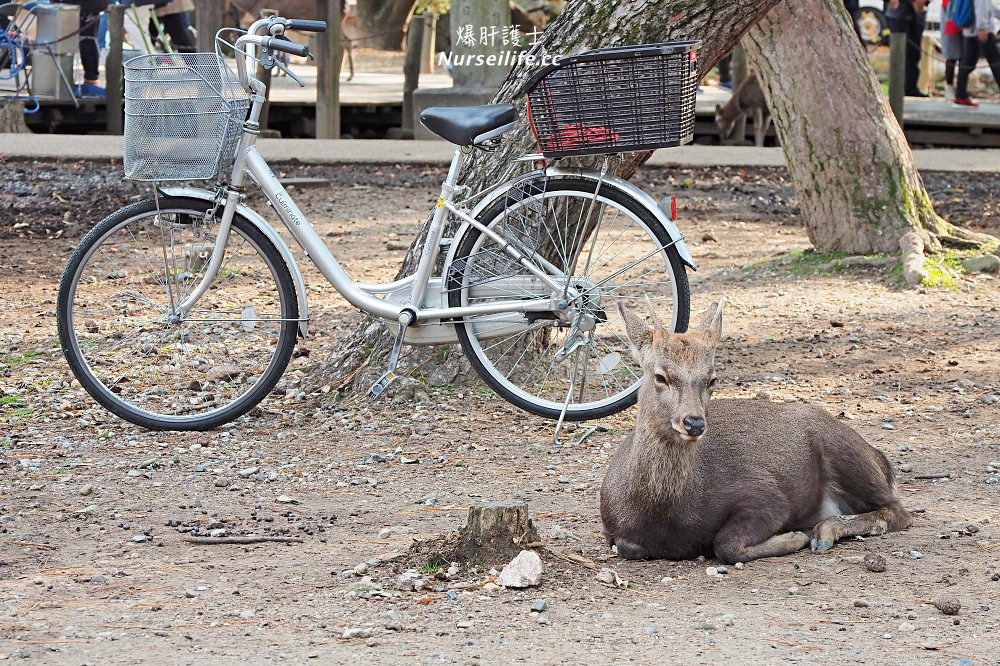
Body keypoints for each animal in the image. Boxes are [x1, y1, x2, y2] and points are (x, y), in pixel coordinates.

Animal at [600, 298, 916, 564]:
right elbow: (628, 547)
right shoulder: (612, 530)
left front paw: (794, 537)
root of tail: (879, 457)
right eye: (660, 376)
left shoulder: (767, 495)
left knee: (899, 511)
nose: (694, 423)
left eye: (712, 379)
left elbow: (726, 544)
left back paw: (824, 532)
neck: (666, 516)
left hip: (845, 451)